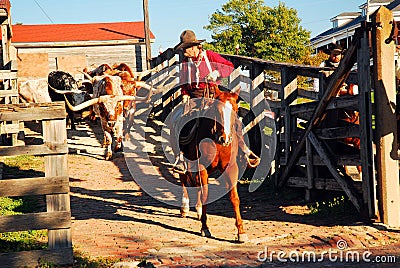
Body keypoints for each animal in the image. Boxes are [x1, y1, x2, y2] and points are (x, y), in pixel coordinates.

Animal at [177, 87, 248, 243]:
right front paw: (205, 228)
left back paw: (198, 210)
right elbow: (205, 195)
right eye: (217, 110)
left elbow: (235, 198)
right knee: (184, 178)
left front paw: (241, 232)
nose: (225, 139)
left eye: (235, 109)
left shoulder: (231, 168)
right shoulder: (202, 167)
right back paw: (185, 207)